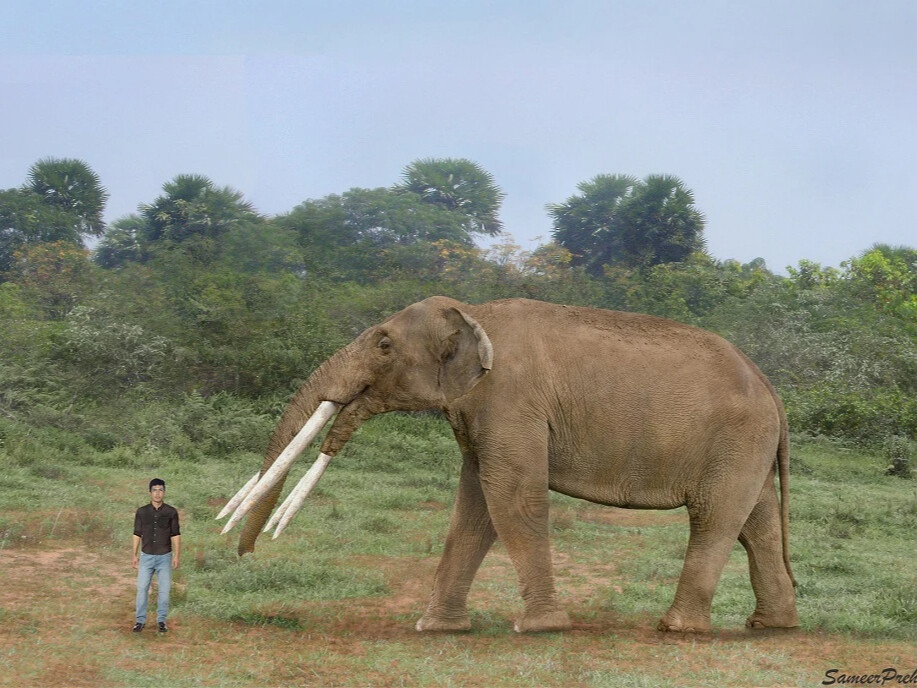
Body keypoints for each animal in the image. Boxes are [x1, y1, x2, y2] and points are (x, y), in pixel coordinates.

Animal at [218, 296, 796, 636]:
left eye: (383, 344)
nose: (247, 558)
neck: (472, 312)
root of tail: (773, 389)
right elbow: (473, 508)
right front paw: (436, 629)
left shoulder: (510, 400)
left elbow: (512, 496)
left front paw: (539, 629)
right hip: (749, 449)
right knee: (757, 524)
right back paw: (773, 626)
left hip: (737, 440)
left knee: (715, 519)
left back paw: (677, 629)